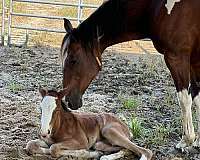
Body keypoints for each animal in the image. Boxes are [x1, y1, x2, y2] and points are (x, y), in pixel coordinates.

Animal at [60, 0, 200, 149]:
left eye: (73, 60)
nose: (67, 101)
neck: (156, 8)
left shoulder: (177, 58)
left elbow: (184, 99)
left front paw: (187, 140)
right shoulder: (194, 61)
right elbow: (197, 98)